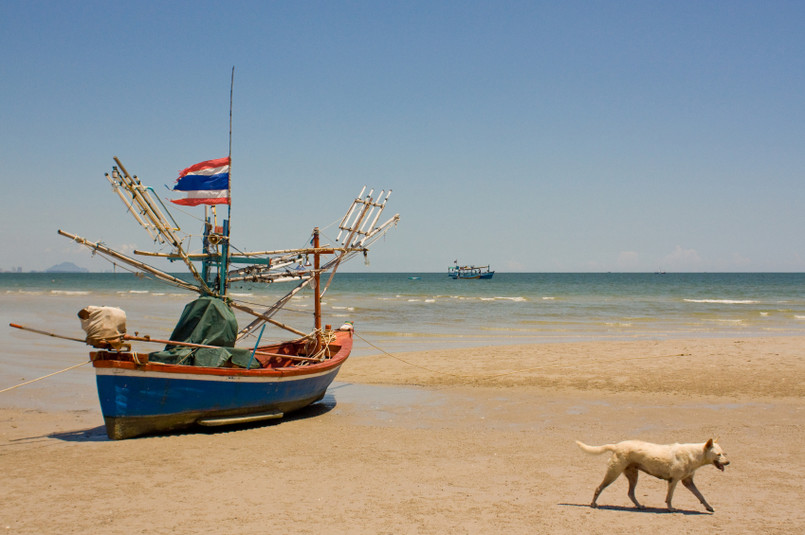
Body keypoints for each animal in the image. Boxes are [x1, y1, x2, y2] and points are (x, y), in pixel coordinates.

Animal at [576, 442, 724, 512]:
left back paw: (639, 506)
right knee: (598, 488)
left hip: (633, 476)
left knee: (630, 493)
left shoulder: (688, 482)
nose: (727, 462)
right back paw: (593, 504)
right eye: (718, 455)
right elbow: (669, 498)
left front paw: (709, 508)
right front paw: (670, 509)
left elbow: (701, 496)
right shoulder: (674, 481)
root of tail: (617, 445)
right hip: (613, 474)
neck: (694, 454)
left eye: (724, 453)